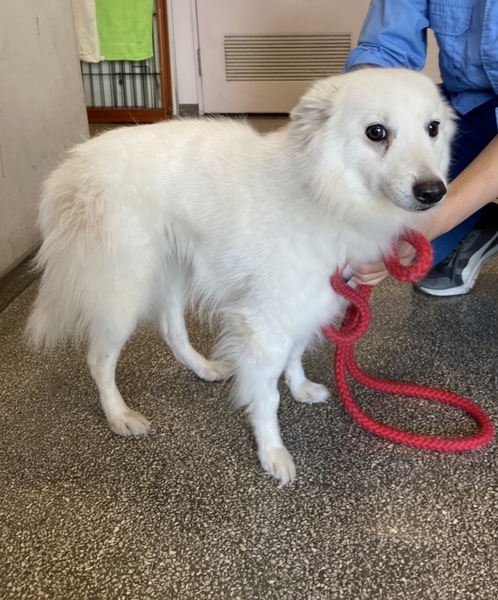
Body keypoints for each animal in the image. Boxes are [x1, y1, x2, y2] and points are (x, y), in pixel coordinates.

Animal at [26, 68, 455, 484]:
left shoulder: (307, 305)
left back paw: (204, 369)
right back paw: (119, 415)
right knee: (99, 359)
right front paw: (272, 453)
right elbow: (268, 397)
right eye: (376, 132)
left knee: (171, 330)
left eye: (432, 128)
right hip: (125, 291)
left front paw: (300, 388)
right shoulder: (265, 326)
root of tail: (74, 164)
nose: (434, 192)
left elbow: (296, 355)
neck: (322, 193)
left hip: (173, 272)